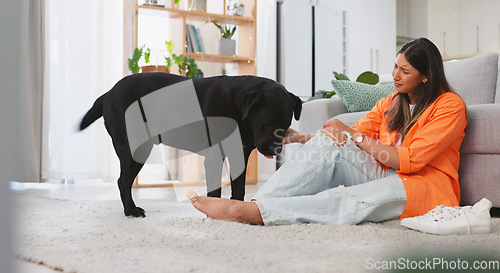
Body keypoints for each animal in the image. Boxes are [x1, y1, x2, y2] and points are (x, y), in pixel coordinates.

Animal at [81, 73, 300, 217]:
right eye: (265, 125)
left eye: (285, 127)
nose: (275, 150)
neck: (237, 107)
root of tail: (109, 93)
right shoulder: (214, 156)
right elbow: (215, 190)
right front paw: (214, 212)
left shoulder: (240, 155)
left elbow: (239, 187)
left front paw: (237, 208)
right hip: (134, 149)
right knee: (123, 181)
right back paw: (130, 210)